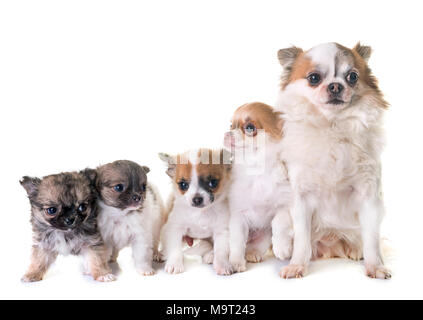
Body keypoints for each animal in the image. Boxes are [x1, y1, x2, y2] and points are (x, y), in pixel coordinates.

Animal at [227, 103, 294, 272]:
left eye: (250, 128)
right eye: (231, 126)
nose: (227, 133)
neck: (256, 170)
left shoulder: (284, 206)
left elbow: (279, 222)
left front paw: (282, 248)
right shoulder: (238, 216)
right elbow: (237, 241)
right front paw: (235, 262)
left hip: (264, 235)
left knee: (256, 245)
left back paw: (253, 253)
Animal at [276, 43, 392, 280]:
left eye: (352, 76)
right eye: (313, 78)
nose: (336, 86)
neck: (332, 127)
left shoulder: (369, 196)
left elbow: (372, 239)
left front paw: (375, 266)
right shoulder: (301, 198)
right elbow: (302, 239)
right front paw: (297, 265)